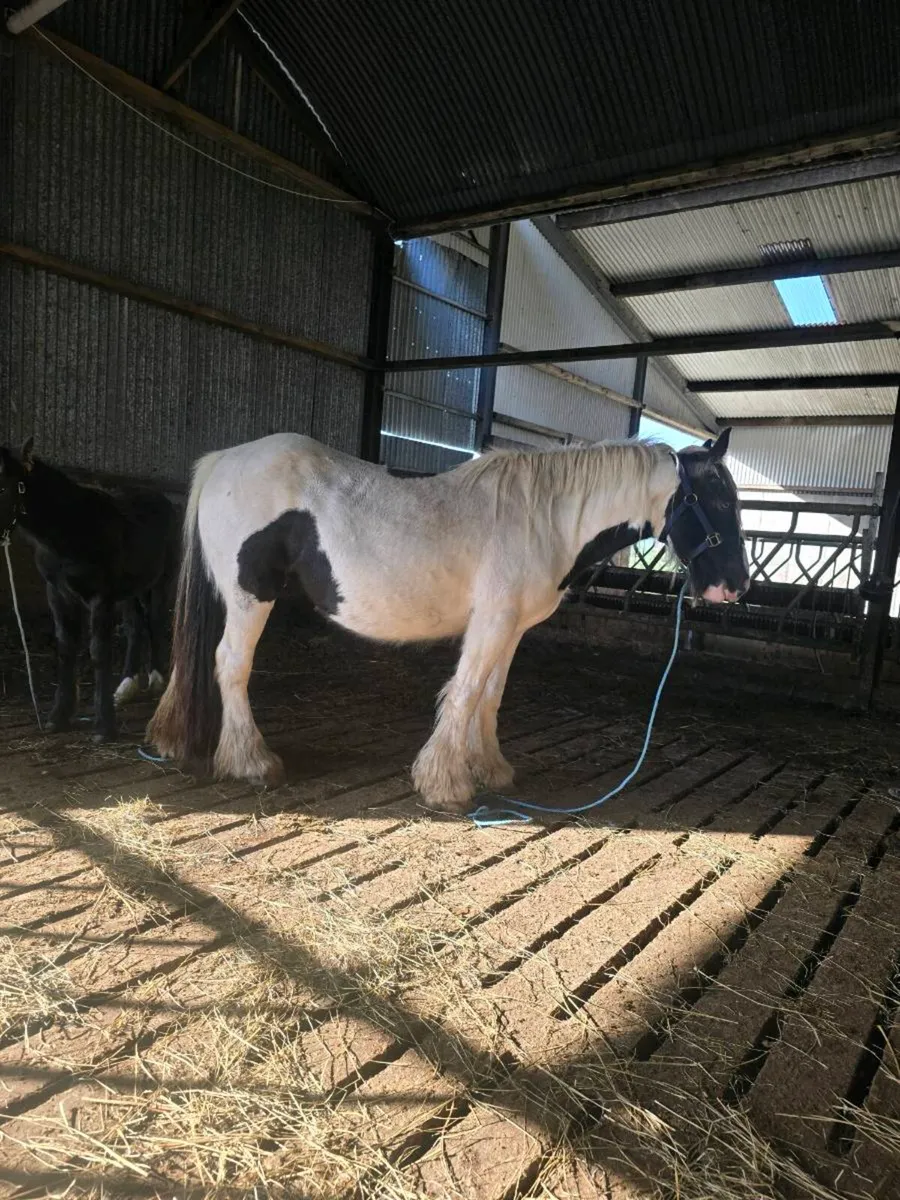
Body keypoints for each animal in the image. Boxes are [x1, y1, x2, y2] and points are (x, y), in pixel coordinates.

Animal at [0, 440, 179, 741]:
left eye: (6, 485)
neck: (73, 529)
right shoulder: (57, 594)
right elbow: (65, 648)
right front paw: (58, 717)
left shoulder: (100, 597)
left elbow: (98, 653)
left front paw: (104, 727)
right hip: (129, 590)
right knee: (135, 626)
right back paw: (126, 686)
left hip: (159, 582)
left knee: (154, 621)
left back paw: (156, 680)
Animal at [147, 427, 749, 813]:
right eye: (716, 498)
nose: (735, 587)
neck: (544, 518)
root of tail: (225, 458)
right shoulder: (492, 622)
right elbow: (464, 694)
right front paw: (445, 786)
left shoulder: (511, 627)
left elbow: (490, 696)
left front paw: (489, 767)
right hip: (252, 595)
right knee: (231, 664)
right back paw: (252, 761)